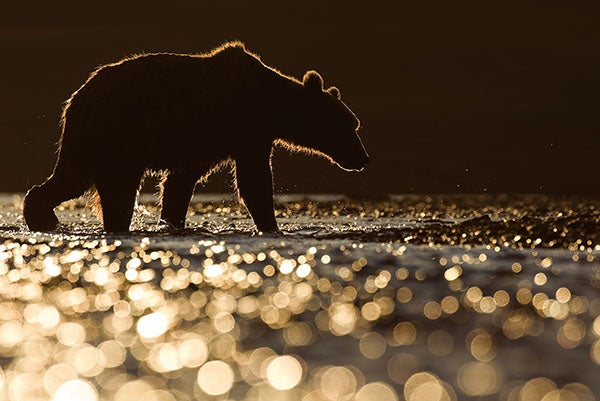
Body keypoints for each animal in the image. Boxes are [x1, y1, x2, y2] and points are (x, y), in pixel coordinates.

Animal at [23, 41, 368, 231]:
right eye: (350, 125)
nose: (363, 157)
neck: (269, 106)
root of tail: (78, 97)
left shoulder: (210, 143)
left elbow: (180, 183)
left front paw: (172, 220)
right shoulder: (244, 131)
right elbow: (254, 183)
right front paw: (271, 225)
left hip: (88, 138)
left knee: (72, 176)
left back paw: (43, 214)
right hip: (118, 134)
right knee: (114, 189)